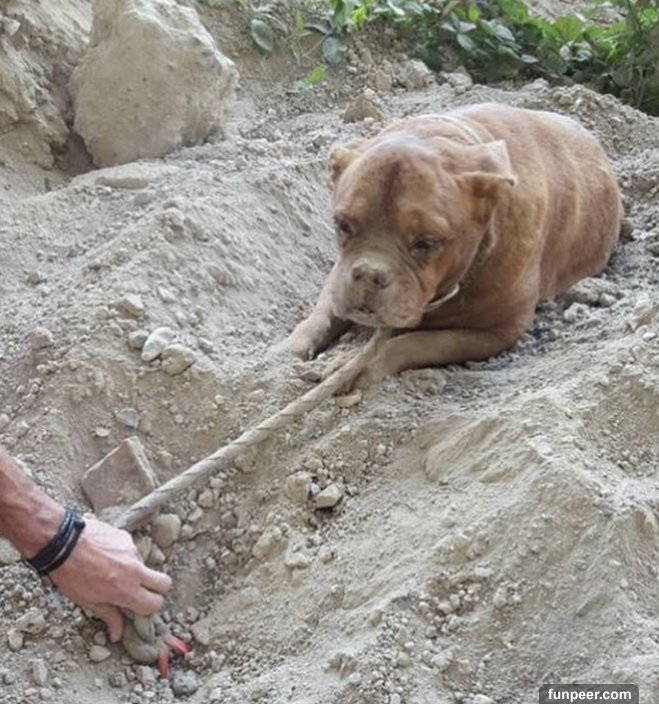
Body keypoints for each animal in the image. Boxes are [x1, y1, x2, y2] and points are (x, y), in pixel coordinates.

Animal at [287, 103, 622, 388]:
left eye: (426, 243)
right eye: (342, 225)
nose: (369, 274)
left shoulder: (498, 331)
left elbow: (413, 343)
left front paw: (353, 367)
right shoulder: (339, 274)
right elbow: (322, 313)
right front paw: (289, 350)